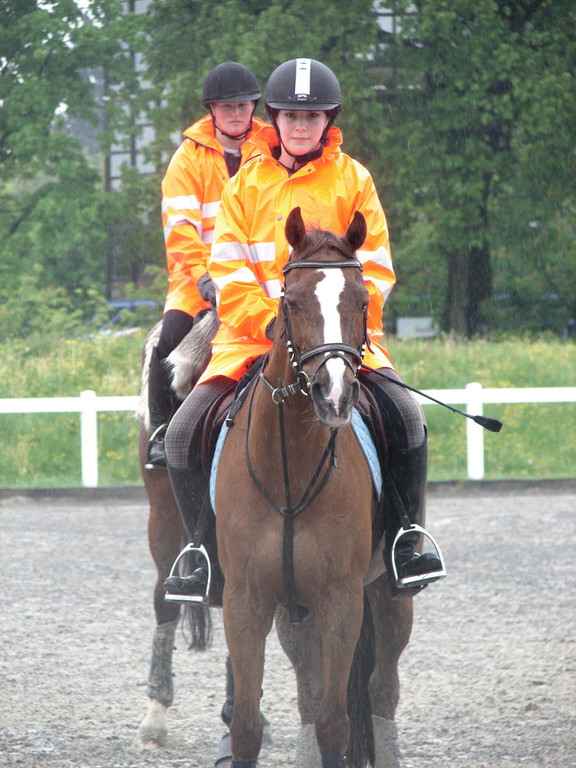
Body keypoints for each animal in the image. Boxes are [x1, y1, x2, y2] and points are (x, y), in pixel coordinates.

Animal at [214, 208, 412, 768]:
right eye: (293, 300)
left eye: (362, 301)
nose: (334, 394)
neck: (289, 472)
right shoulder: (245, 601)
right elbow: (247, 726)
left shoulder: (340, 599)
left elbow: (335, 723)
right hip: (293, 611)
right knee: (309, 688)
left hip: (387, 595)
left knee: (381, 689)